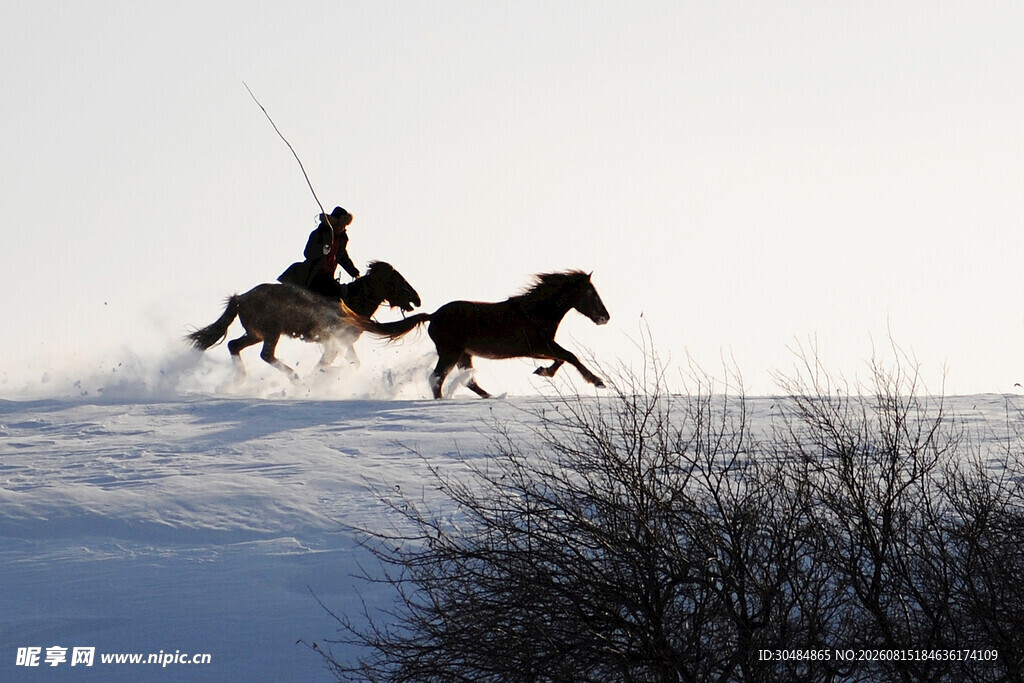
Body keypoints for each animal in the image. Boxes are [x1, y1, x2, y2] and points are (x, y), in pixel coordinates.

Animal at [186, 261, 420, 380]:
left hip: (255, 333)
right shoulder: (334, 343)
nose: (416, 299)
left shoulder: (344, 343)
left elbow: (355, 364)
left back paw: (241, 377)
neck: (352, 302)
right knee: (266, 355)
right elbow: (326, 364)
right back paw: (294, 377)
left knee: (234, 345)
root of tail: (240, 298)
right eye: (395, 279)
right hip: (271, 332)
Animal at [357, 270, 609, 399]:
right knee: (436, 378)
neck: (537, 310)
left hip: (463, 354)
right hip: (450, 353)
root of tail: (434, 315)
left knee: (468, 381)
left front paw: (542, 371)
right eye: (591, 293)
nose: (605, 317)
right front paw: (598, 381)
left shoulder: (540, 348)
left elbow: (562, 359)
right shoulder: (539, 345)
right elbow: (571, 356)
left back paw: (493, 396)